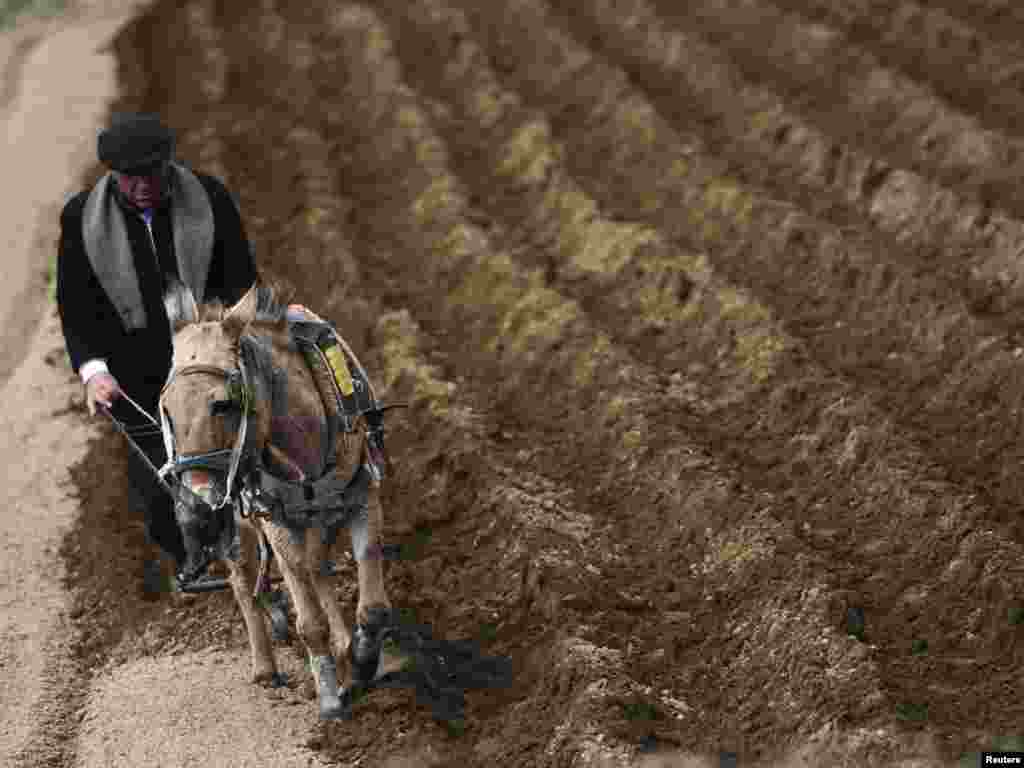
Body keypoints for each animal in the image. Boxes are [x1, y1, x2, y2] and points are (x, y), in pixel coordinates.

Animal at [158, 278, 391, 720]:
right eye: (167, 410)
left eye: (223, 403)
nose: (194, 502)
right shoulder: (276, 522)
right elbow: (308, 618)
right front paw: (330, 696)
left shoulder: (364, 498)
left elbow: (372, 606)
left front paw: (361, 660)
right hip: (241, 524)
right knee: (243, 583)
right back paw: (266, 665)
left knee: (315, 568)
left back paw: (342, 646)